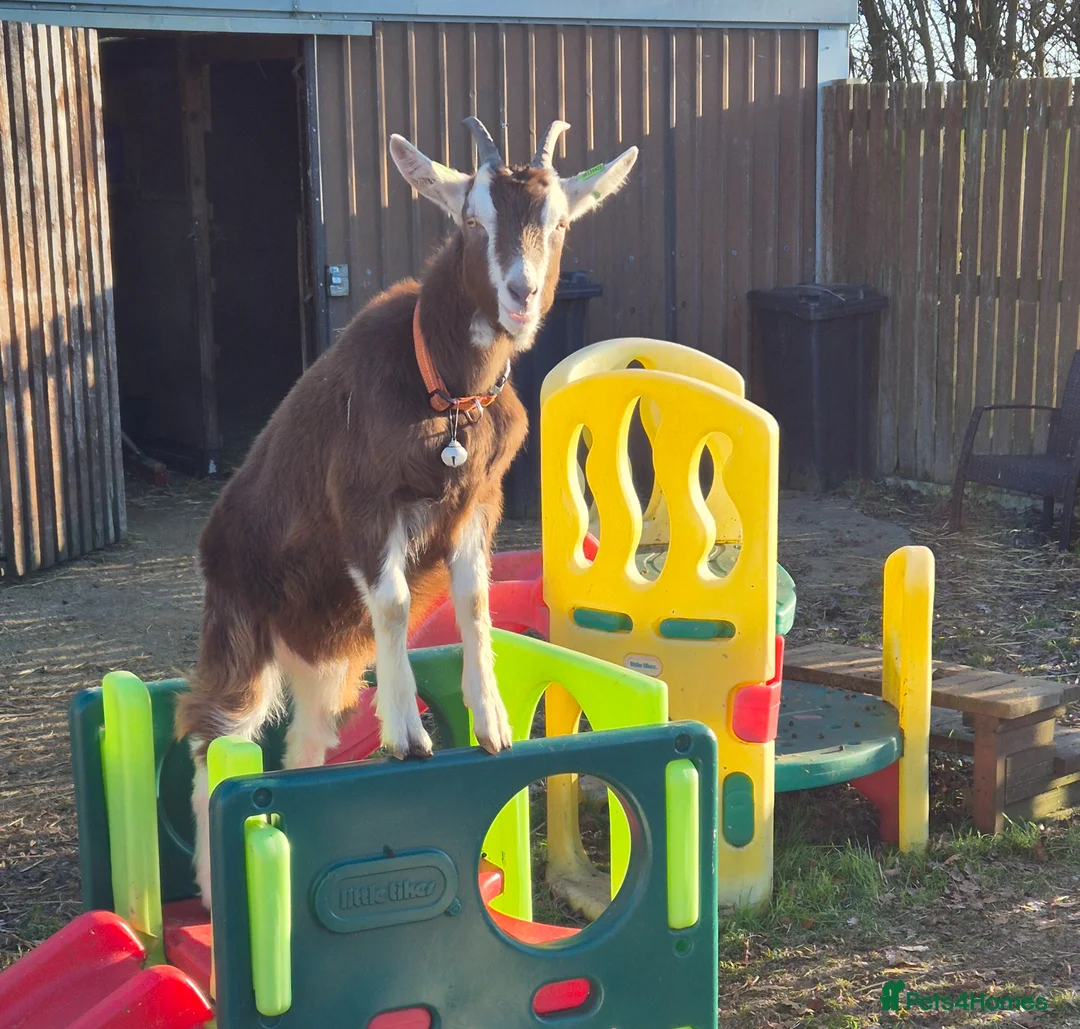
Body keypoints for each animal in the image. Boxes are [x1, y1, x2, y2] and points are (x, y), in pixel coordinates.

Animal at [175, 116, 638, 910]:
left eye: (559, 223)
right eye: (472, 220)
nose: (521, 293)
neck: (446, 393)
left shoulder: (479, 502)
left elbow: (476, 601)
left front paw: (493, 725)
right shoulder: (364, 501)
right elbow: (391, 601)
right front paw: (406, 735)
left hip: (325, 658)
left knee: (303, 742)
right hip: (240, 625)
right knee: (216, 734)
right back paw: (209, 882)